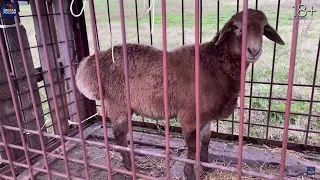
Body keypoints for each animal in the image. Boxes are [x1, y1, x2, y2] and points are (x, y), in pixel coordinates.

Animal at [75, 8, 284, 180]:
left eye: (264, 27)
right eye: (235, 27)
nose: (253, 50)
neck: (214, 64)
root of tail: (94, 61)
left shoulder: (206, 115)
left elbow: (206, 140)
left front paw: (206, 166)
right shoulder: (190, 115)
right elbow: (192, 147)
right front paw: (190, 173)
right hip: (117, 103)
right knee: (119, 135)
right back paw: (129, 166)